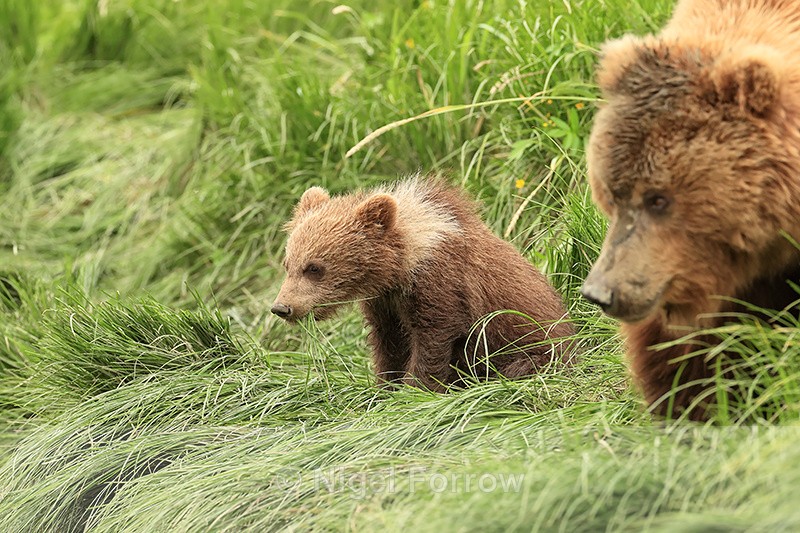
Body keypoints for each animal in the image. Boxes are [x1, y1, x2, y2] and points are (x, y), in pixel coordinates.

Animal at [271, 176, 575, 391]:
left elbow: (432, 340)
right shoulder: (385, 302)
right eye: (288, 264)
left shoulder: (441, 285)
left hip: (534, 349)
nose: (282, 307)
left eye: (314, 268)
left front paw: (415, 390)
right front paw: (384, 388)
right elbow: (389, 345)